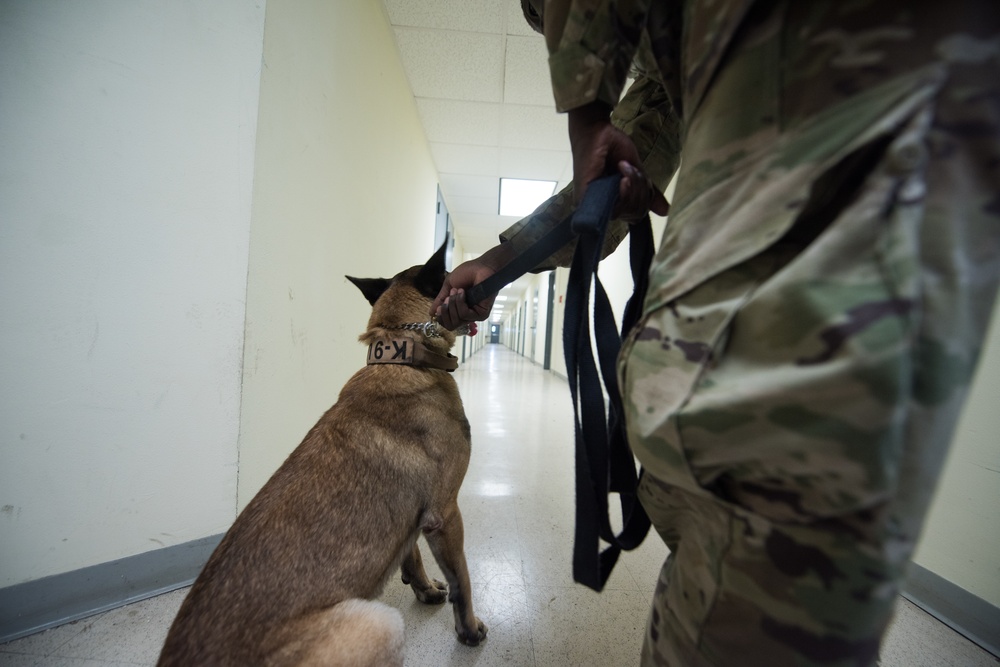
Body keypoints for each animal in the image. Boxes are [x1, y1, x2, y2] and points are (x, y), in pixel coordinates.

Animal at [160, 241, 488, 667]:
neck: (403, 354)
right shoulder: (445, 513)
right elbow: (462, 579)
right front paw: (469, 628)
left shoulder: (412, 513)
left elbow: (410, 552)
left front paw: (424, 587)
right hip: (379, 623)